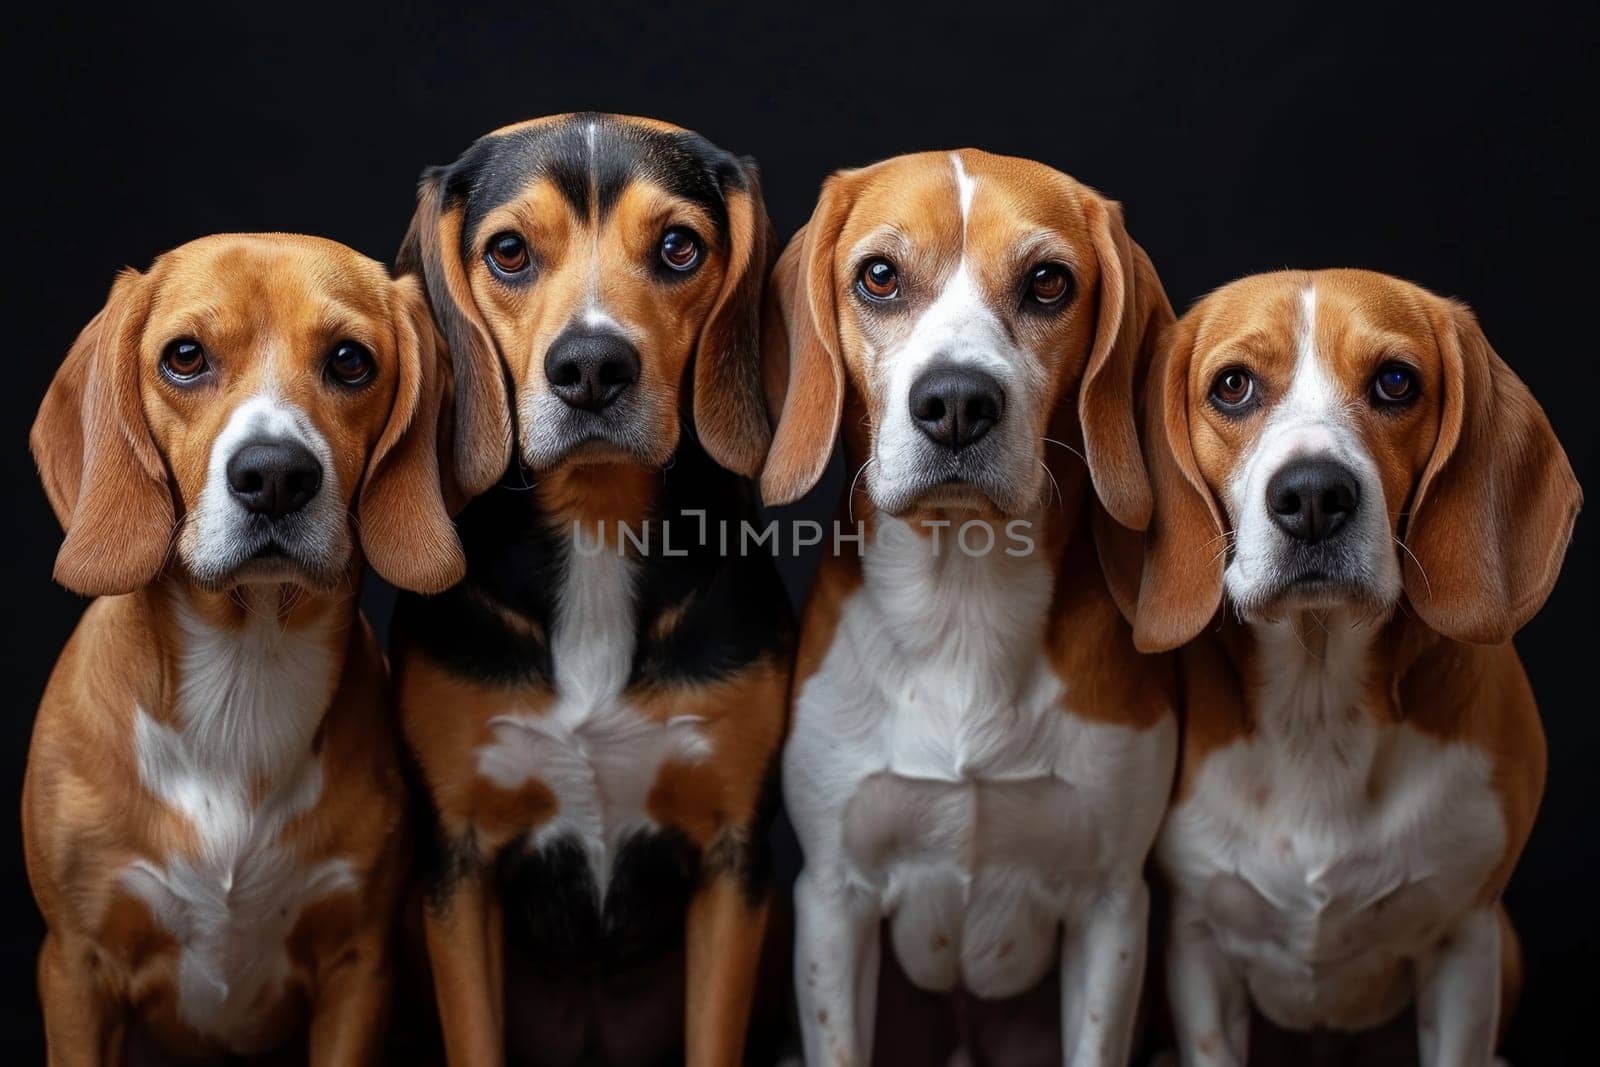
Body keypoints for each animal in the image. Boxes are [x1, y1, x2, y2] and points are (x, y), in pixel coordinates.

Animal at [25, 231, 464, 1062]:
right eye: (185, 356)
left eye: (350, 360)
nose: (275, 473)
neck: (245, 669)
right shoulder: (75, 967)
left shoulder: (359, 969)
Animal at [390, 115, 784, 1067]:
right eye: (508, 252)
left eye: (679, 247)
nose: (593, 365)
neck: (596, 523)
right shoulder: (458, 862)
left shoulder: (734, 860)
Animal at [768, 151, 1184, 1067]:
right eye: (879, 276)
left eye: (1048, 283)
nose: (956, 400)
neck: (962, 604)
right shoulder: (832, 899)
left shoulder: (1111, 906)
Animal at [1120, 271, 1580, 1062]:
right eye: (1233, 386)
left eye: (1396, 382)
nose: (1312, 495)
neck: (1319, 701)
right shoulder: (1199, 946)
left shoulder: (1465, 942)